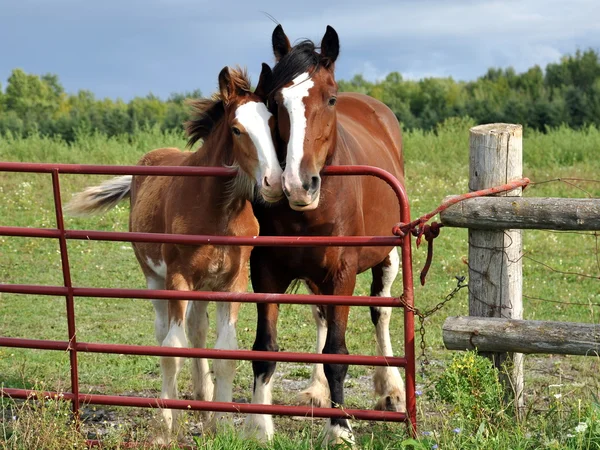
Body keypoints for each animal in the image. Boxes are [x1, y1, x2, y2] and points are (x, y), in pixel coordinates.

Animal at [67, 65, 282, 442]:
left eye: (272, 124)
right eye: (237, 129)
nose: (274, 182)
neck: (218, 209)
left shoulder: (233, 282)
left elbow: (225, 351)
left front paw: (219, 421)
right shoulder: (177, 278)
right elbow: (172, 349)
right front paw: (165, 426)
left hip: (203, 285)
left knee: (197, 329)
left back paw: (203, 398)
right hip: (155, 278)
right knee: (164, 332)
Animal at [246, 26, 406, 444]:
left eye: (329, 99)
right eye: (274, 102)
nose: (298, 184)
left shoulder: (342, 274)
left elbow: (337, 353)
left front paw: (340, 430)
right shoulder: (265, 272)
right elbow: (265, 350)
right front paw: (259, 428)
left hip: (387, 257)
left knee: (381, 312)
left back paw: (392, 389)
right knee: (320, 315)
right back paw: (317, 390)